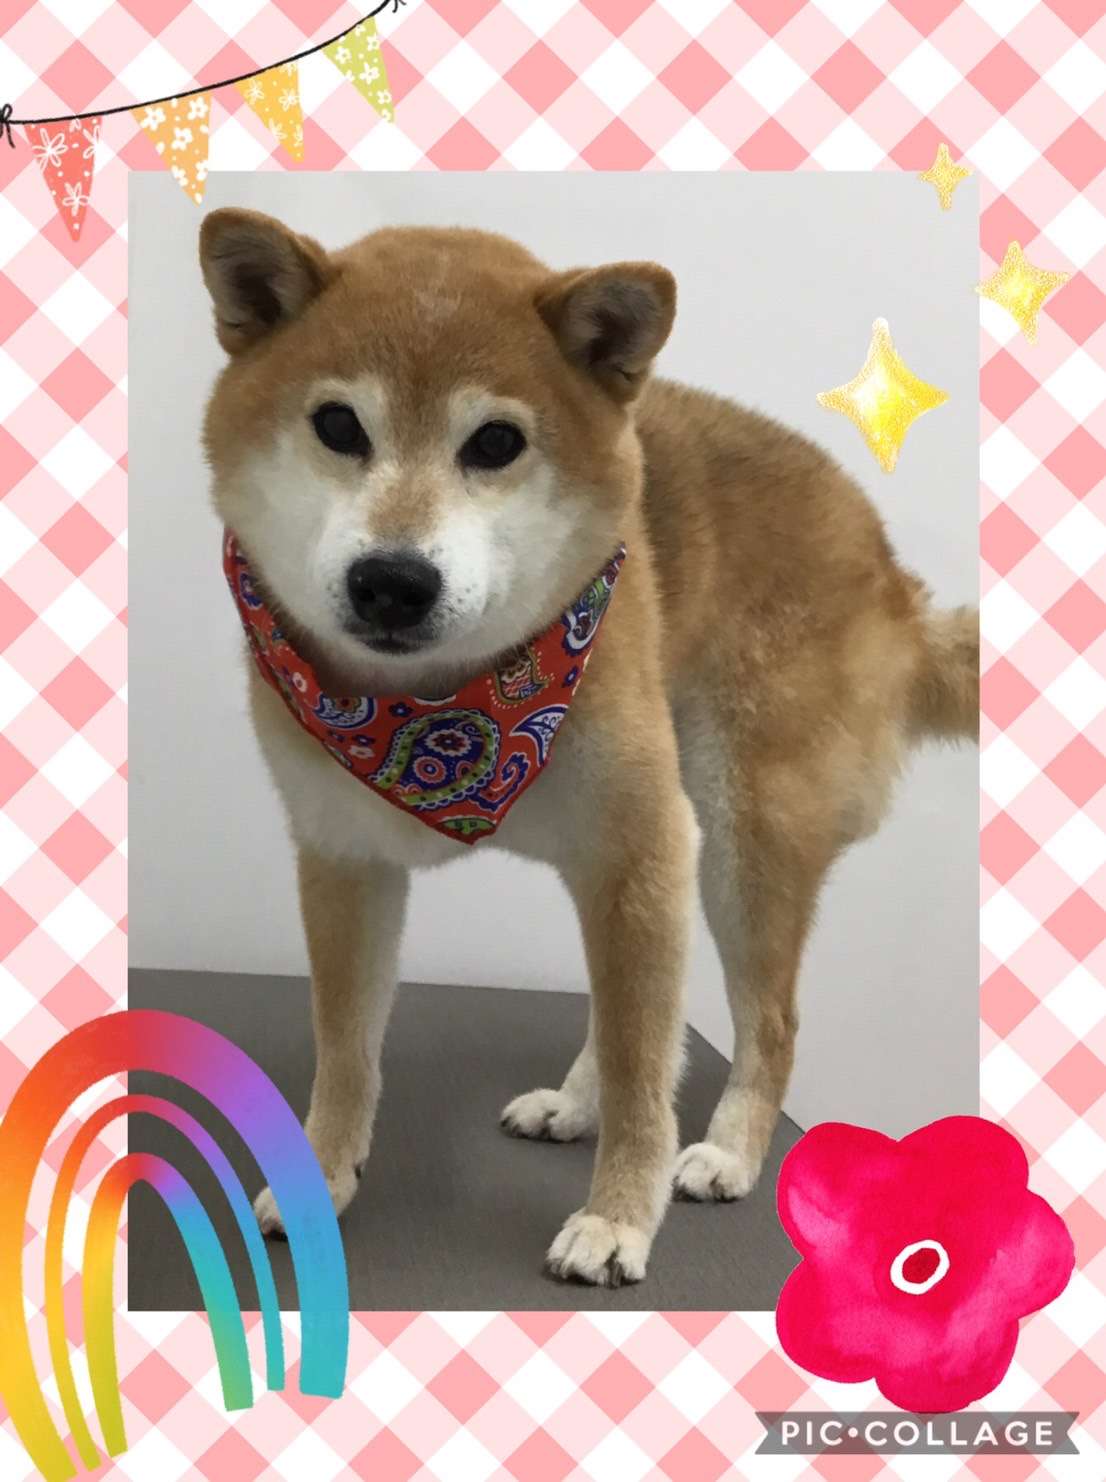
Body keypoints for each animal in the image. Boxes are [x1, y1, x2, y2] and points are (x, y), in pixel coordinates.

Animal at [198, 208, 978, 1287]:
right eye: (338, 426)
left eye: (496, 442)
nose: (392, 581)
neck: (441, 710)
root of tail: (890, 570)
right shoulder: (344, 860)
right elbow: (347, 1049)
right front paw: (325, 1177)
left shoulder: (637, 844)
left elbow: (645, 1065)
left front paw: (618, 1218)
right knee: (633, 1020)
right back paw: (576, 1101)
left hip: (739, 839)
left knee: (761, 1024)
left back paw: (728, 1152)